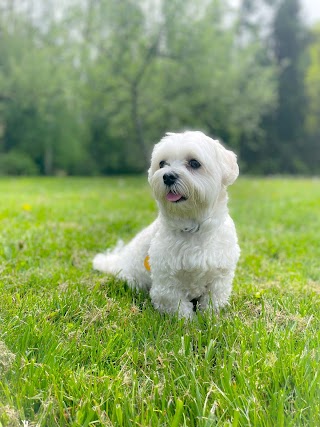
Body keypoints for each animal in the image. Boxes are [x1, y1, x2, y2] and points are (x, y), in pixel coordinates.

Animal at [94, 132, 239, 320]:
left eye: (194, 163)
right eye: (162, 164)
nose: (168, 176)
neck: (192, 226)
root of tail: (117, 261)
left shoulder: (220, 276)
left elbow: (213, 300)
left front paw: (211, 319)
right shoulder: (166, 282)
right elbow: (177, 306)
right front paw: (188, 323)